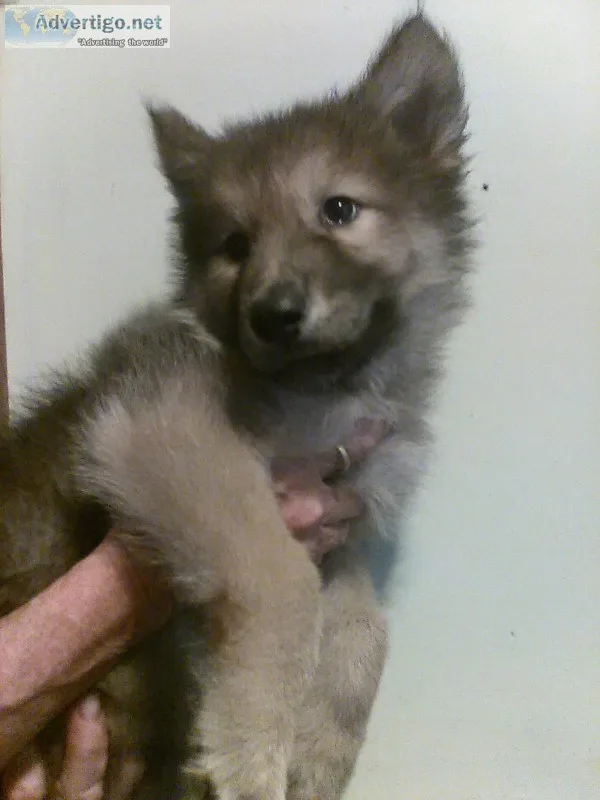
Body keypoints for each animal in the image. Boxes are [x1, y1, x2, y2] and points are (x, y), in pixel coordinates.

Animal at [0, 14, 473, 800]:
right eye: (235, 244)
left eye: (339, 210)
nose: (273, 315)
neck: (321, 388)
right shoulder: (165, 429)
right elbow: (283, 583)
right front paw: (252, 748)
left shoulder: (337, 517)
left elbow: (364, 623)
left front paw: (320, 750)